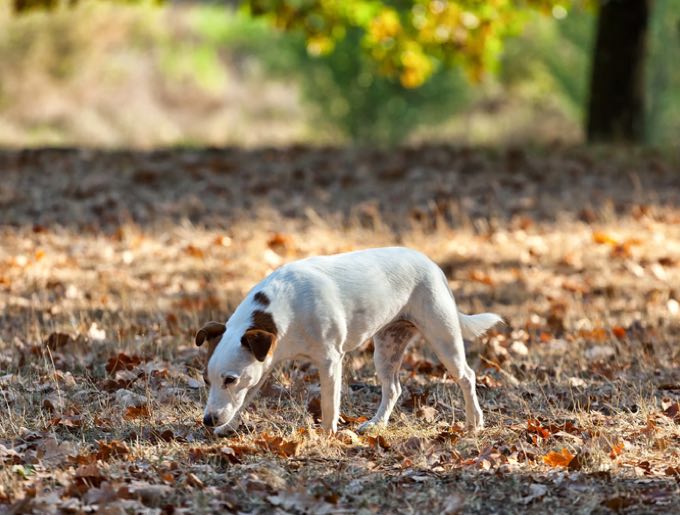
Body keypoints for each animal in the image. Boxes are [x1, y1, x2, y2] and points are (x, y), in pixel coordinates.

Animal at [194, 246, 502, 436]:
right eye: (207, 380)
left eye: (230, 379)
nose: (208, 420)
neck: (282, 311)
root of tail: (432, 265)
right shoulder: (262, 366)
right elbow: (243, 400)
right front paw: (228, 428)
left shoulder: (330, 360)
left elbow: (330, 404)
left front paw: (327, 435)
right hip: (387, 347)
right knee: (393, 388)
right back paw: (376, 424)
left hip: (443, 337)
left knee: (467, 376)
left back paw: (475, 422)